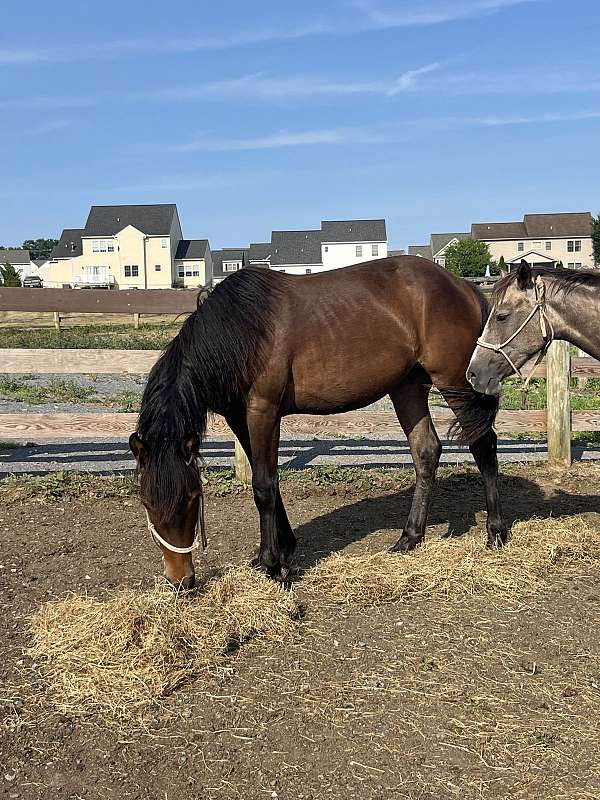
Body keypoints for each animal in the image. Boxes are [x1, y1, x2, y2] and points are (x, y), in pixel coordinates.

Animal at [130, 256, 506, 588]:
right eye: (146, 503)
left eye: (192, 498)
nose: (180, 581)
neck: (240, 331)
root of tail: (462, 286)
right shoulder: (239, 418)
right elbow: (267, 481)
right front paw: (283, 551)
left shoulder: (263, 411)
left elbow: (263, 486)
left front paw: (272, 564)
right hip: (407, 387)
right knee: (426, 451)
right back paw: (409, 538)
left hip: (456, 384)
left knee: (483, 445)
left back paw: (496, 532)